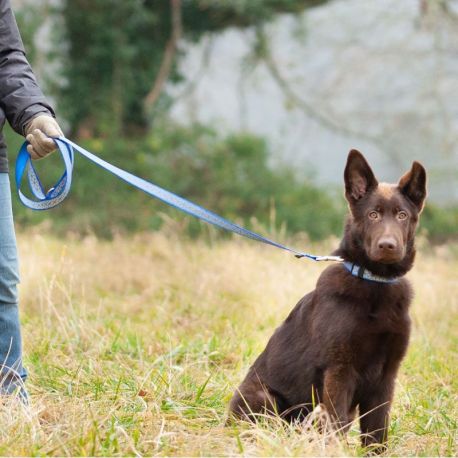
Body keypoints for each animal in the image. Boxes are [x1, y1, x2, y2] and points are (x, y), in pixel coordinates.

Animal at [229, 149, 426, 450]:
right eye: (373, 214)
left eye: (402, 215)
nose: (388, 246)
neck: (374, 282)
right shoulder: (339, 370)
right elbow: (336, 422)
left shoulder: (386, 376)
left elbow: (377, 430)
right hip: (265, 399)